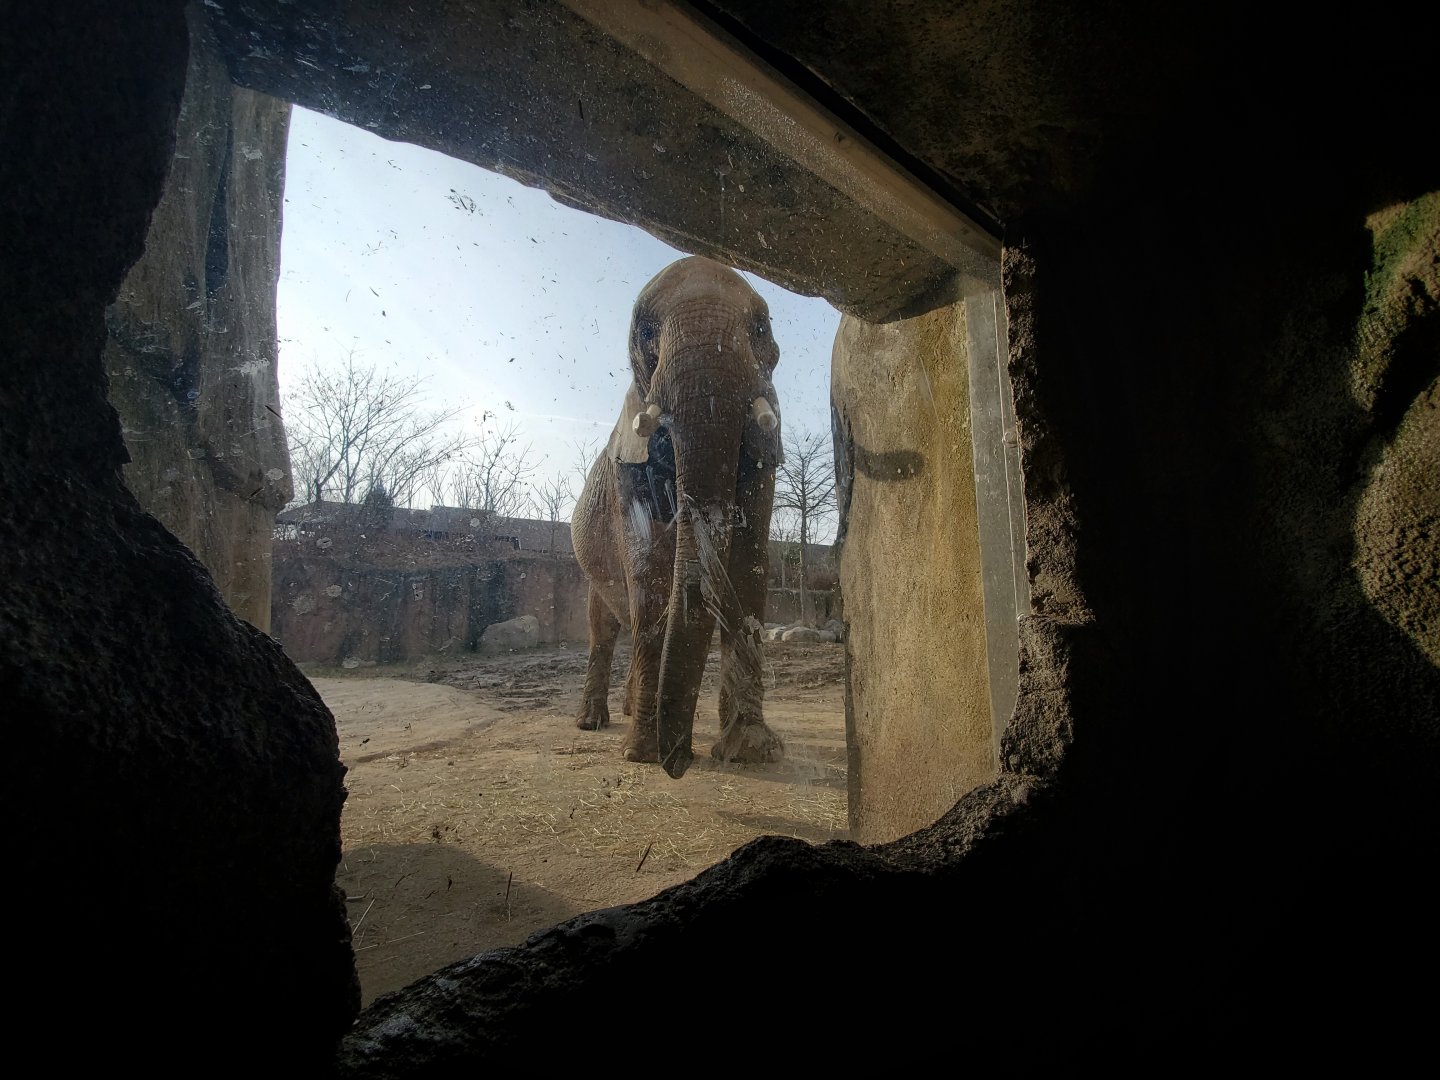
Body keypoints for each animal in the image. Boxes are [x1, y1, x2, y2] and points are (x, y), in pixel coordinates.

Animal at [572, 256, 786, 779]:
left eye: (761, 327)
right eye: (646, 332)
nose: (680, 762)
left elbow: (751, 565)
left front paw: (750, 752)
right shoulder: (628, 469)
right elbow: (649, 573)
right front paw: (643, 755)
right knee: (603, 627)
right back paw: (594, 722)